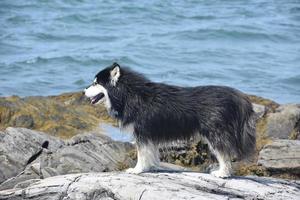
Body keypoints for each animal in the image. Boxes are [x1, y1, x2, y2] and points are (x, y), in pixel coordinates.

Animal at [84, 62, 255, 178]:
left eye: (96, 83)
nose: (84, 90)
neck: (129, 94)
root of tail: (237, 96)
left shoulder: (142, 132)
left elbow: (142, 153)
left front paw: (137, 169)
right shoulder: (149, 135)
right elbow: (151, 152)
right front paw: (151, 167)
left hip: (215, 133)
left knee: (224, 153)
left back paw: (222, 173)